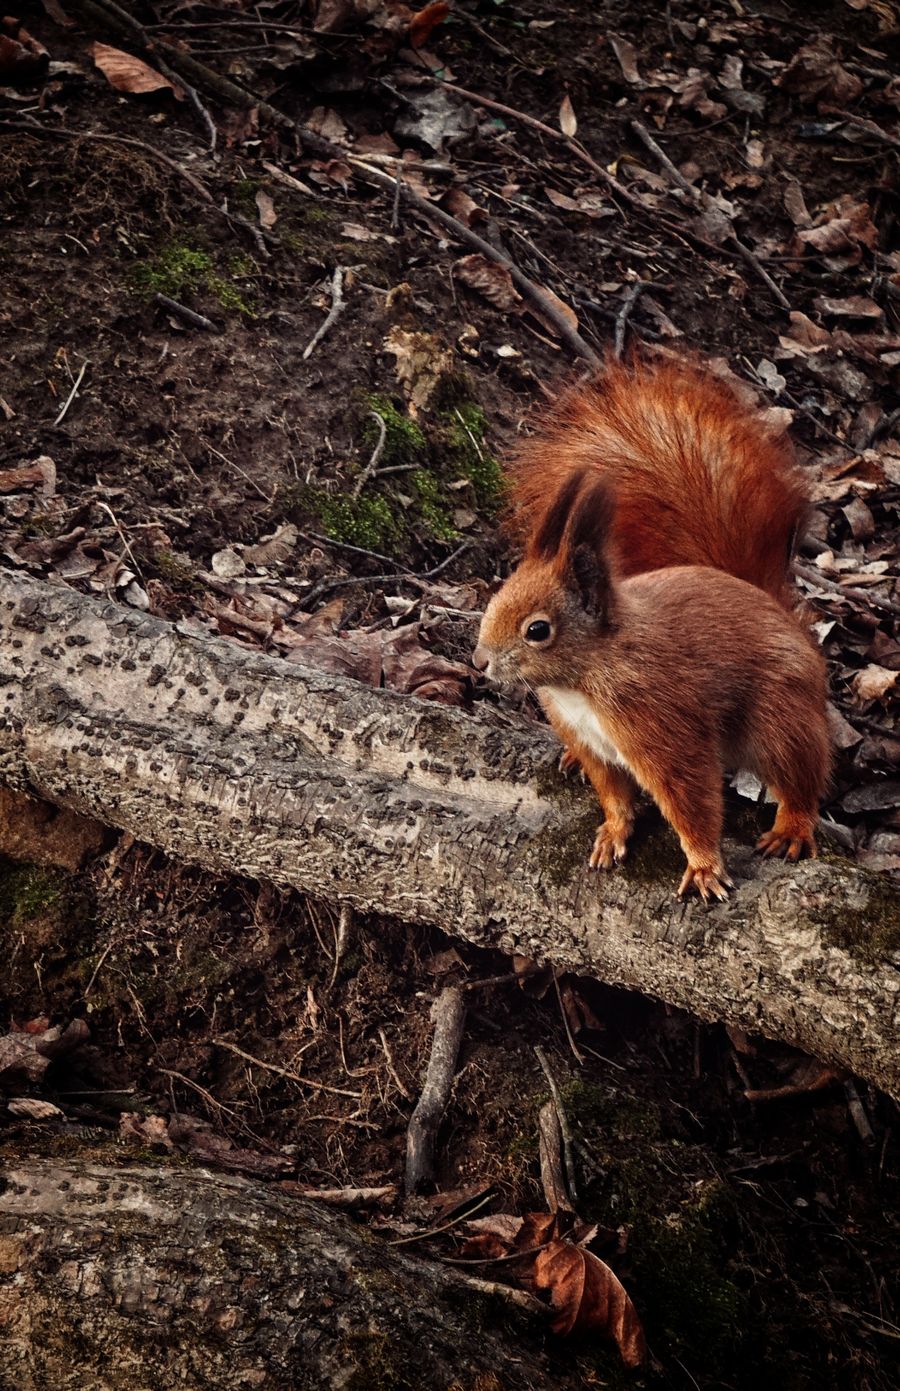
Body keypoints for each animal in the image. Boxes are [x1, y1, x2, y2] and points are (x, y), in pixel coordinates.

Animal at [472, 358, 831, 902]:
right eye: (496, 595)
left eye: (538, 630)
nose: (480, 661)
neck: (586, 677)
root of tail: (773, 606)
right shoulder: (590, 741)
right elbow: (614, 794)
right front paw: (613, 832)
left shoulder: (661, 725)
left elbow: (692, 801)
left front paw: (703, 866)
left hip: (779, 717)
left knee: (801, 773)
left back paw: (792, 826)